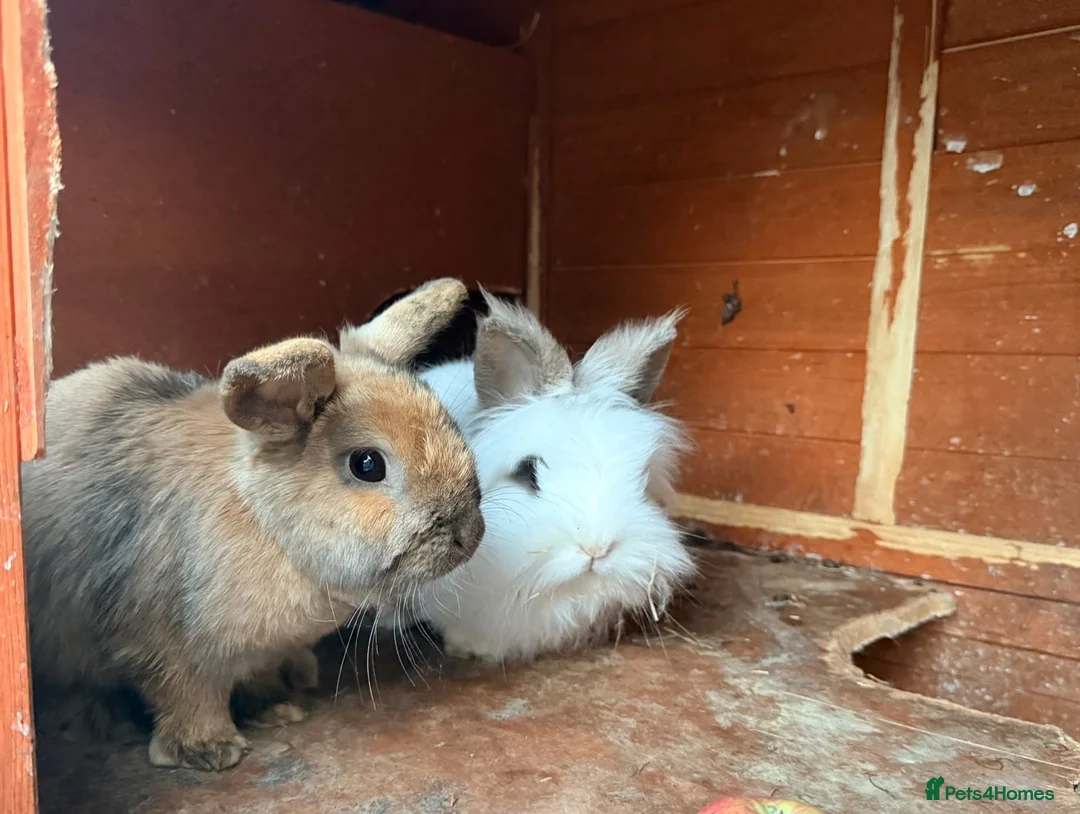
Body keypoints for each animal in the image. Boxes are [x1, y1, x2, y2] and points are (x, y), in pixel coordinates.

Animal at [21, 278, 485, 771]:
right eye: (367, 465)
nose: (470, 534)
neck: (265, 524)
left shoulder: (260, 651)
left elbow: (257, 678)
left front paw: (278, 710)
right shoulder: (167, 646)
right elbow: (188, 697)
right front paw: (211, 750)